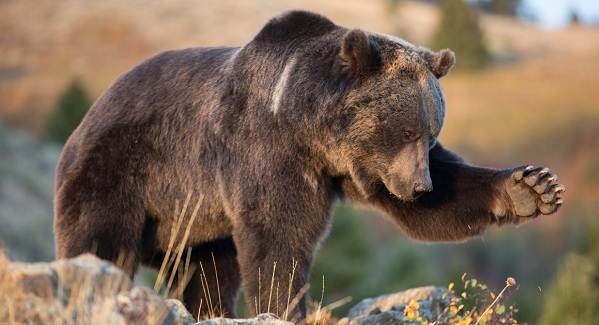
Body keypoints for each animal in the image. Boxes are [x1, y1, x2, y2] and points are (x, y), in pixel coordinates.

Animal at [54, 10, 564, 318]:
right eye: (405, 131)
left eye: (431, 132)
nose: (421, 187)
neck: (311, 132)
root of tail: (84, 120)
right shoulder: (266, 151)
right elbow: (279, 236)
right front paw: (282, 306)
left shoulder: (352, 171)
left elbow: (443, 202)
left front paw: (533, 187)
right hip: (123, 171)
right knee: (99, 241)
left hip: (196, 220)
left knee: (207, 272)